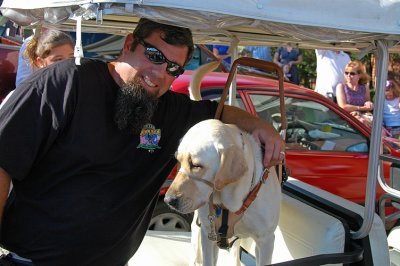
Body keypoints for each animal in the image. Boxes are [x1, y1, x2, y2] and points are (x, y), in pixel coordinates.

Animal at [165, 119, 282, 266]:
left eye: (196, 166)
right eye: (178, 161)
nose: (168, 200)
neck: (232, 203)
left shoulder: (266, 240)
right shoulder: (208, 233)